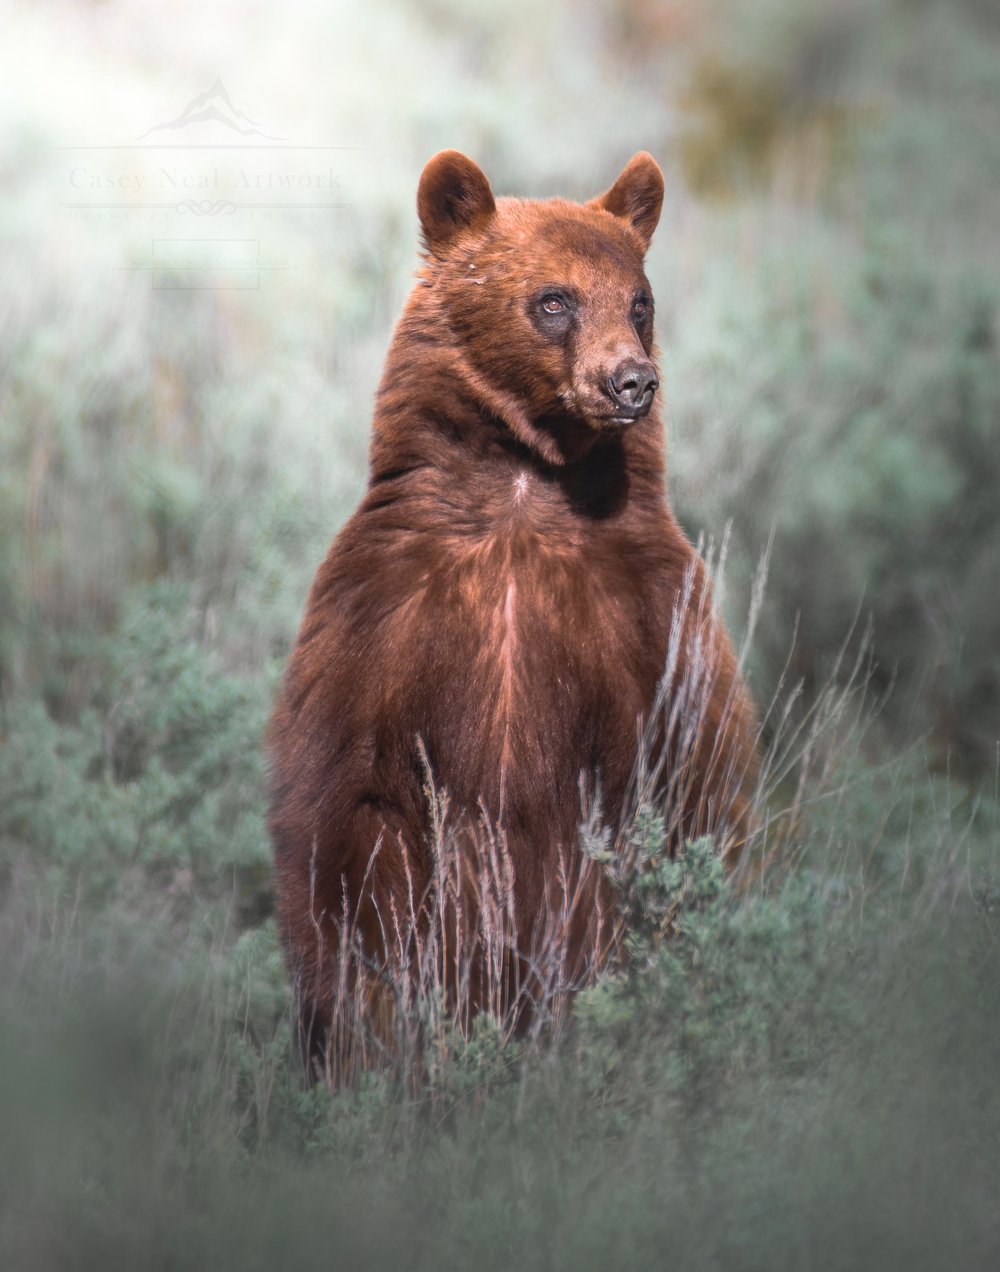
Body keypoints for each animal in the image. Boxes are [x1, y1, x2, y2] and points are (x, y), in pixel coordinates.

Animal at [268, 150, 759, 1080]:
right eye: (554, 299)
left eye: (639, 300)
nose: (632, 380)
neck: (528, 487)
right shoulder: (383, 607)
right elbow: (344, 812)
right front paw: (370, 1020)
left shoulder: (651, 614)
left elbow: (699, 774)